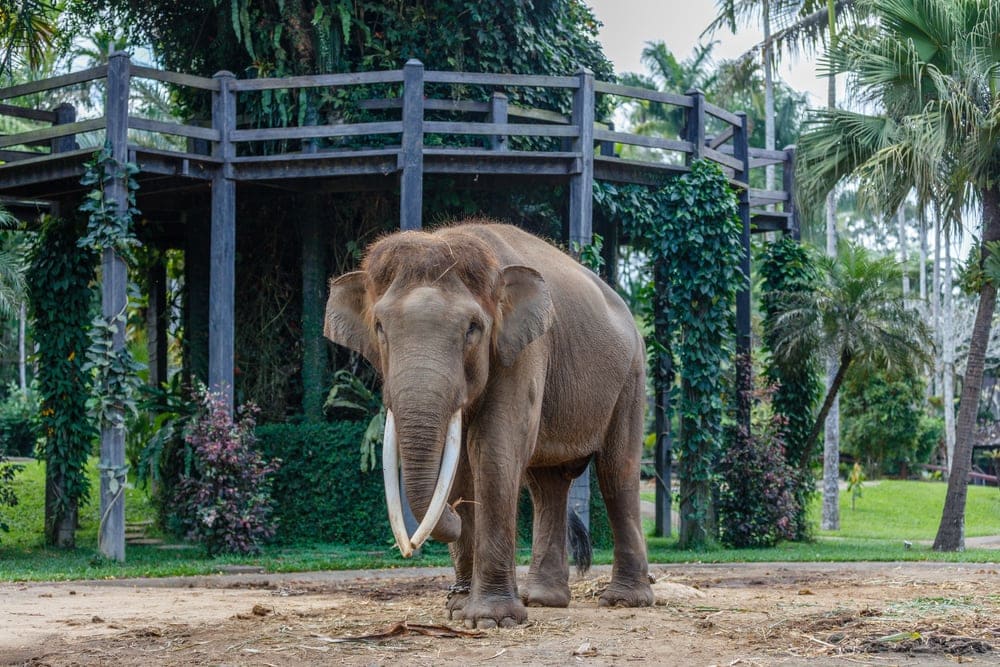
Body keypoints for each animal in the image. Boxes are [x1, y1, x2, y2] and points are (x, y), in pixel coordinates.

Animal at [324, 220, 653, 628]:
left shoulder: (524, 349)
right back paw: (542, 599)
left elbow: (494, 449)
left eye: (473, 328)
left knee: (616, 472)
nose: (452, 515)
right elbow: (458, 465)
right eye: (380, 327)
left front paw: (492, 620)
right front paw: (459, 608)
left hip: (631, 375)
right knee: (547, 485)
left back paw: (623, 600)